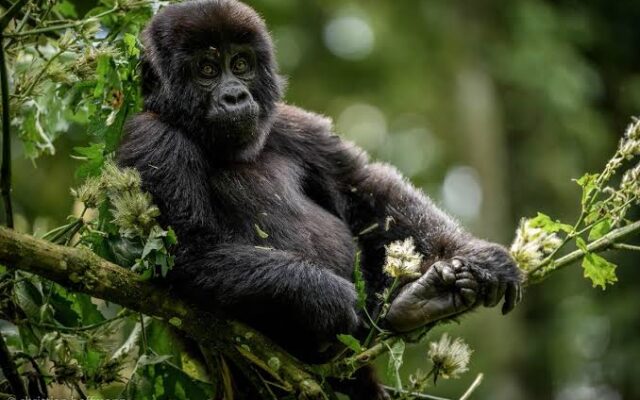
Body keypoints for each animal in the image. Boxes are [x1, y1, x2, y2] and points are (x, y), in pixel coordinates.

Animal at [116, 1, 523, 398]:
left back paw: (416, 304)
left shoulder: (288, 121)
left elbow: (360, 185)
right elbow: (184, 251)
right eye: (207, 69)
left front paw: (476, 255)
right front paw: (322, 295)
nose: (235, 96)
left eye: (241, 64)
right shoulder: (150, 138)